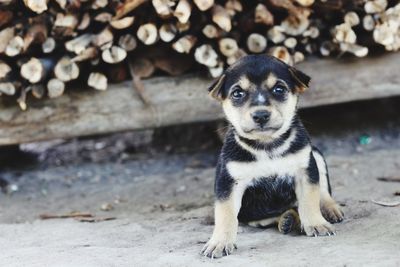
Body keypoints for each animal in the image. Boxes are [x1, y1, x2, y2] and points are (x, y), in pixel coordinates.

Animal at [203, 55, 344, 258]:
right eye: (237, 93)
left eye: (279, 89)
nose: (261, 115)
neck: (267, 146)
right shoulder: (228, 181)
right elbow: (225, 213)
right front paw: (220, 242)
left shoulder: (305, 169)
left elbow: (310, 198)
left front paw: (316, 223)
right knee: (269, 217)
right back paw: (288, 219)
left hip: (316, 155)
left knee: (323, 191)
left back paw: (328, 209)